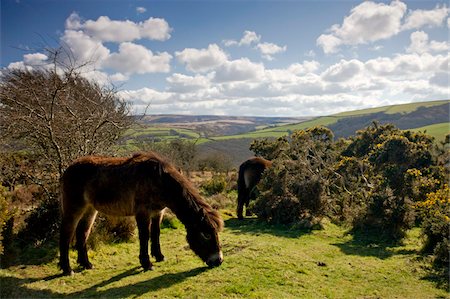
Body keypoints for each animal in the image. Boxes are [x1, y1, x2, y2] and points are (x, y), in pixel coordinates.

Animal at [59, 152, 224, 276]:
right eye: (206, 235)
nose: (219, 261)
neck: (160, 180)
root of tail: (69, 168)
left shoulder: (158, 212)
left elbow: (156, 233)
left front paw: (159, 256)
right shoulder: (143, 213)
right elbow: (144, 236)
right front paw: (146, 263)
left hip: (90, 209)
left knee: (82, 233)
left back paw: (86, 264)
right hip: (74, 208)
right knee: (66, 234)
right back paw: (67, 269)